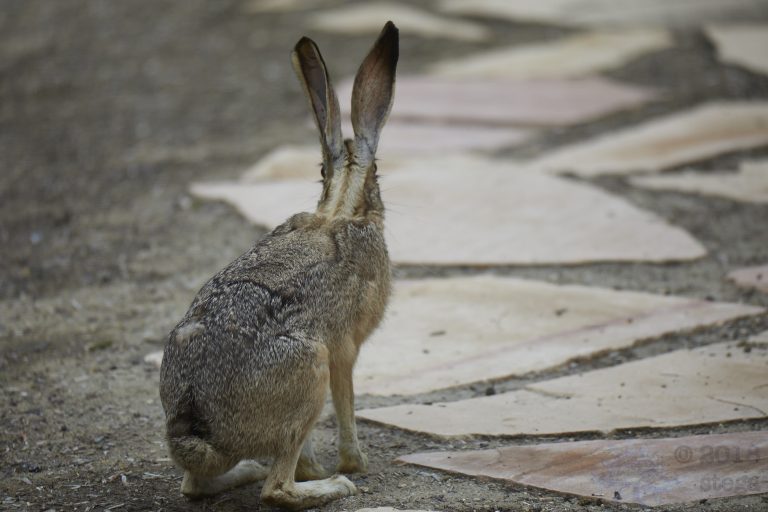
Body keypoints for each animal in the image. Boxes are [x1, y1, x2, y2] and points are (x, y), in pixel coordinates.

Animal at [158, 21, 398, 510]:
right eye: (379, 172)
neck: (339, 210)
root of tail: (196, 417)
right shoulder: (344, 350)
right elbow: (347, 403)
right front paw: (354, 464)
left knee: (194, 485)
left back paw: (249, 470)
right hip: (310, 371)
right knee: (278, 489)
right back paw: (329, 485)